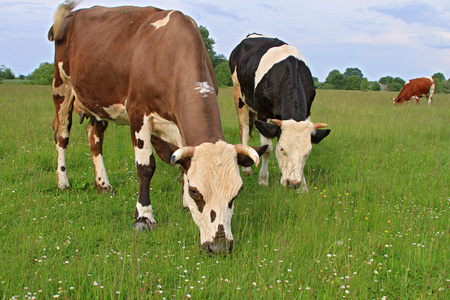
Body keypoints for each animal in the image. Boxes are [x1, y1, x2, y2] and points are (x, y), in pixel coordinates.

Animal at [48, 1, 268, 255]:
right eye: (196, 191)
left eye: (237, 193)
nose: (220, 246)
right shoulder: (138, 114)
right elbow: (146, 167)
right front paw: (144, 217)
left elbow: (182, 165)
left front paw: (184, 204)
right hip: (62, 87)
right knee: (62, 134)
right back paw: (63, 182)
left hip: (98, 102)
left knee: (94, 137)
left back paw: (103, 184)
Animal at [229, 33, 330, 192]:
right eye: (282, 149)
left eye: (308, 153)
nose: (293, 183)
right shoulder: (263, 113)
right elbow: (268, 149)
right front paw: (263, 180)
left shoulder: (307, 113)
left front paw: (303, 186)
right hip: (239, 94)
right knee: (244, 129)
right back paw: (246, 169)